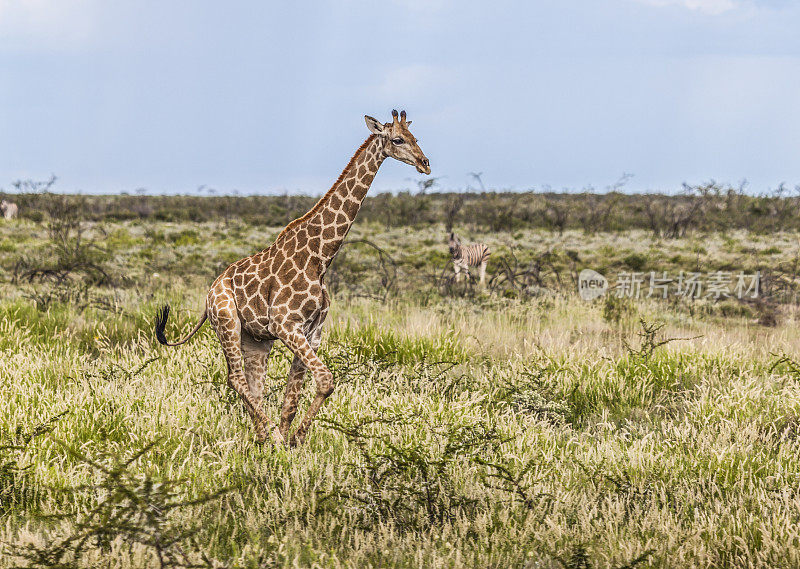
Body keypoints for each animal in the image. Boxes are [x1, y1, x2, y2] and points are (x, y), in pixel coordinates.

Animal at [157, 111, 432, 446]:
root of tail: (208, 294)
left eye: (416, 137)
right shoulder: (285, 325)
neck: (321, 257)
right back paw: (269, 436)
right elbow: (325, 380)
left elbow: (293, 396)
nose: (425, 163)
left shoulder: (312, 332)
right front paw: (290, 439)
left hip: (257, 340)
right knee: (236, 379)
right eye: (397, 139)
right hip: (227, 323)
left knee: (254, 385)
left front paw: (292, 441)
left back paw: (262, 437)